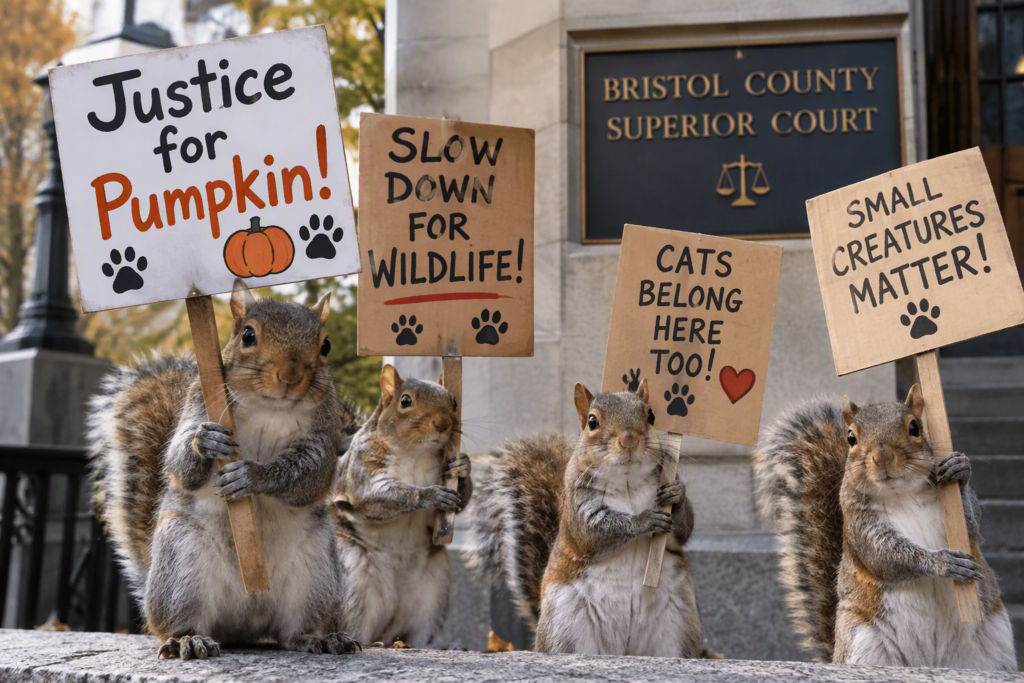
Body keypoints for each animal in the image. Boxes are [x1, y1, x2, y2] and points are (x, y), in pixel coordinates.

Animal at [88, 279, 360, 659]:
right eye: (248, 336)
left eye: (326, 345)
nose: (291, 375)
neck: (270, 409)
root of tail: (246, 623)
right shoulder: (199, 403)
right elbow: (177, 461)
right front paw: (205, 442)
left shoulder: (322, 436)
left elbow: (311, 475)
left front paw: (252, 476)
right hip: (181, 565)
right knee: (180, 622)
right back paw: (189, 639)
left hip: (316, 570)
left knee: (294, 631)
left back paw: (319, 638)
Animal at [333, 364, 472, 647]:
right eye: (405, 401)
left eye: (454, 401)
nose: (443, 424)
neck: (414, 453)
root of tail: (388, 633)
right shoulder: (363, 469)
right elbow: (376, 497)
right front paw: (430, 495)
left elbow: (462, 499)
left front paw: (463, 466)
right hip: (353, 581)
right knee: (354, 622)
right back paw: (357, 642)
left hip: (434, 590)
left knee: (422, 635)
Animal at [469, 380, 704, 657]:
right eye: (592, 422)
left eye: (651, 415)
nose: (629, 441)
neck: (627, 482)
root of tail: (624, 652)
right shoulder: (578, 509)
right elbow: (594, 533)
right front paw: (644, 520)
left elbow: (682, 533)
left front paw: (676, 495)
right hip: (565, 628)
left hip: (677, 628)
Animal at [753, 385, 1016, 671]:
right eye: (851, 437)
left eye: (914, 427)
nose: (882, 458)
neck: (902, 492)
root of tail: (930, 664)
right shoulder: (858, 524)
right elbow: (883, 556)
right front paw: (943, 563)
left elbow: (970, 529)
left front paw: (960, 468)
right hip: (862, 644)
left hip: (995, 650)